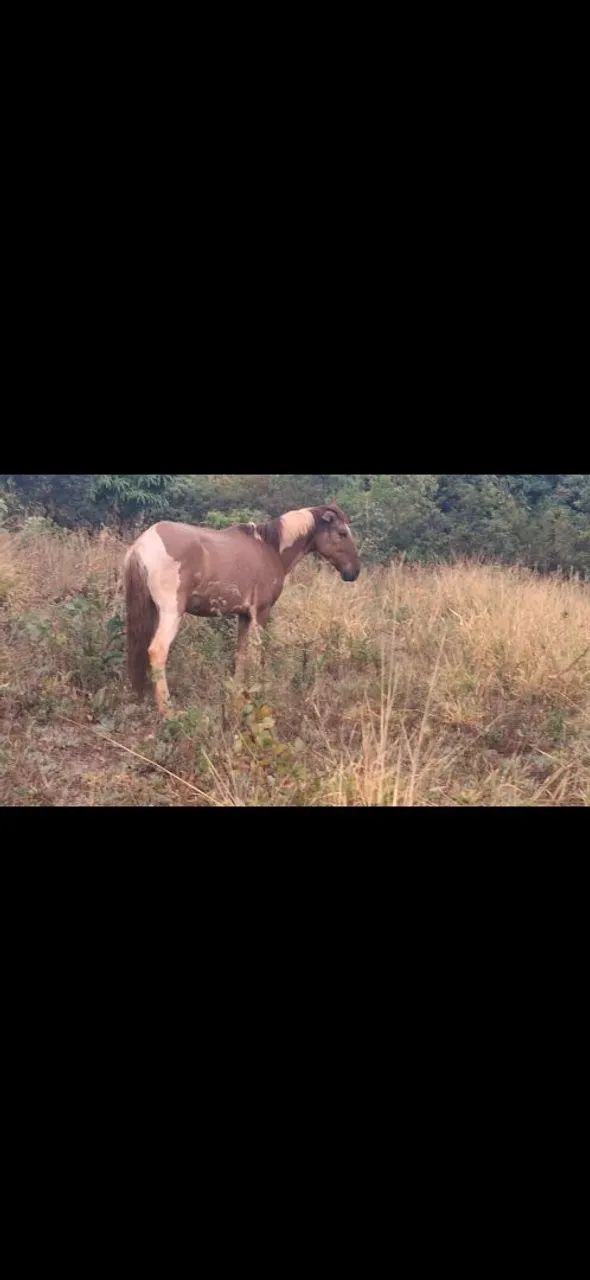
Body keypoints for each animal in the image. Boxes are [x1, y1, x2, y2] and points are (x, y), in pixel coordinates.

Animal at [124, 503, 361, 715]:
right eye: (342, 533)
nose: (354, 572)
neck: (270, 547)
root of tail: (142, 544)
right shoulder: (260, 613)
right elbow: (256, 656)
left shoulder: (244, 616)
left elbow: (241, 655)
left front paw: (238, 695)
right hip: (171, 613)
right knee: (157, 651)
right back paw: (167, 710)